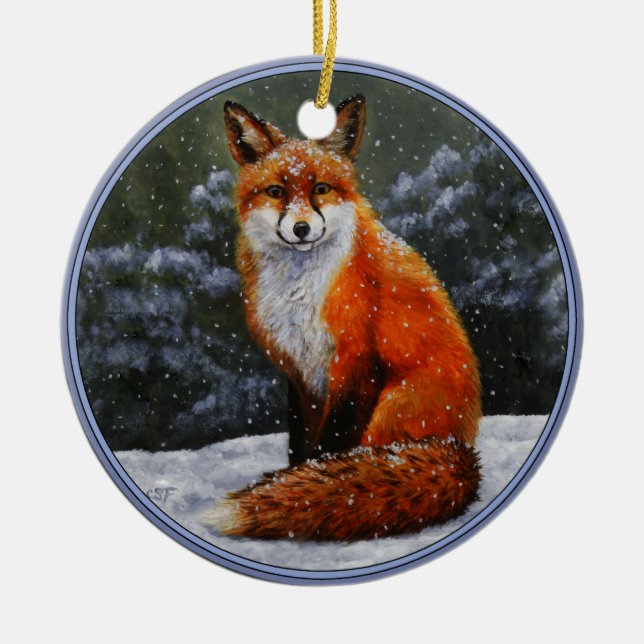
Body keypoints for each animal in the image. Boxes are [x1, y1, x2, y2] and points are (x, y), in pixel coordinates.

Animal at [201, 94, 482, 541]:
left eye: (321, 189)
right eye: (276, 191)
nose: (301, 228)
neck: (299, 292)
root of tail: (463, 450)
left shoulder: (355, 361)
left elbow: (331, 444)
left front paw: (302, 489)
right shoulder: (300, 369)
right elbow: (301, 441)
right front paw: (294, 480)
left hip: (392, 408)